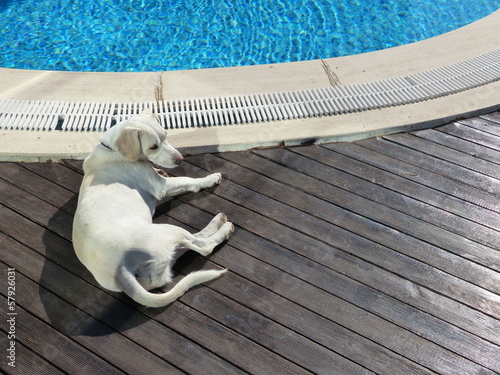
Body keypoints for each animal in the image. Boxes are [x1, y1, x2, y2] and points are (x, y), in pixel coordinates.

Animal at [72, 109, 232, 308]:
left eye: (166, 136)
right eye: (153, 147)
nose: (180, 159)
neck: (112, 150)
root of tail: (120, 271)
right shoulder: (162, 187)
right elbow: (188, 180)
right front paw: (210, 179)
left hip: (164, 257)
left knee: (193, 243)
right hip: (167, 231)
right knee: (204, 247)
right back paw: (223, 227)